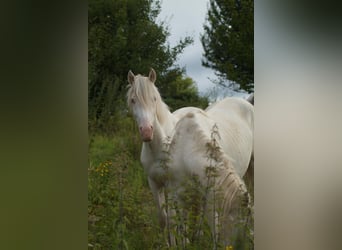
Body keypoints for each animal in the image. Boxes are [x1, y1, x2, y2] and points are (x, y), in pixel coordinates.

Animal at [127, 68, 252, 246]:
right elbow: (166, 219)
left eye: (154, 99)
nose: (146, 131)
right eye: (133, 100)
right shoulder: (156, 183)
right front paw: (170, 245)